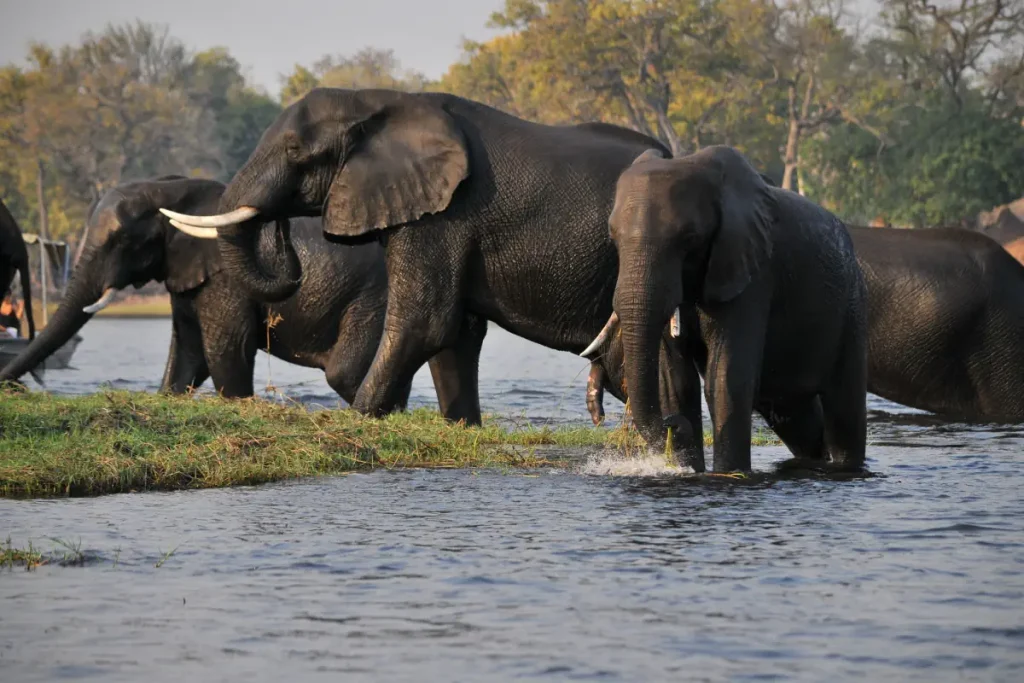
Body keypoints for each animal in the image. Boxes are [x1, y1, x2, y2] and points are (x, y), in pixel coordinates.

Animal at [157, 87, 688, 421]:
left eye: (293, 151)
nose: (281, 227)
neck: (376, 102)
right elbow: (456, 334)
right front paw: (462, 427)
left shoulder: (442, 215)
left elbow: (425, 322)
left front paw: (360, 420)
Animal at [585, 146, 864, 473]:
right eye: (613, 238)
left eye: (690, 239)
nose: (672, 426)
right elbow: (676, 381)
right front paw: (687, 468)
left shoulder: (753, 273)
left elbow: (726, 377)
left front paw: (729, 474)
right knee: (796, 414)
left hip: (852, 306)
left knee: (844, 407)